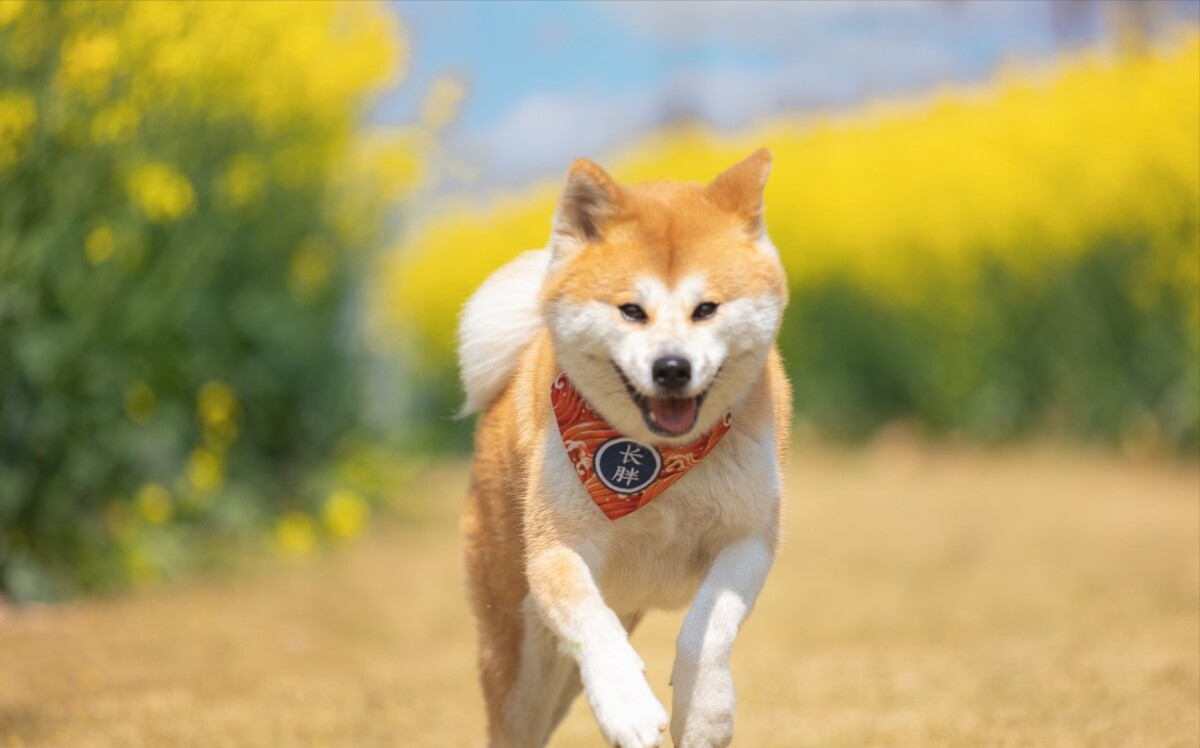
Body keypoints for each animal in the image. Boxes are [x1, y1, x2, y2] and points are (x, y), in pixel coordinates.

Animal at [456, 147, 787, 748]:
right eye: (631, 310)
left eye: (707, 308)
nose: (672, 367)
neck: (660, 460)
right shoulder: (556, 548)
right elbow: (593, 624)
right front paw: (628, 706)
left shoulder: (749, 537)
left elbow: (709, 626)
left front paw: (704, 713)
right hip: (522, 656)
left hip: (563, 675)